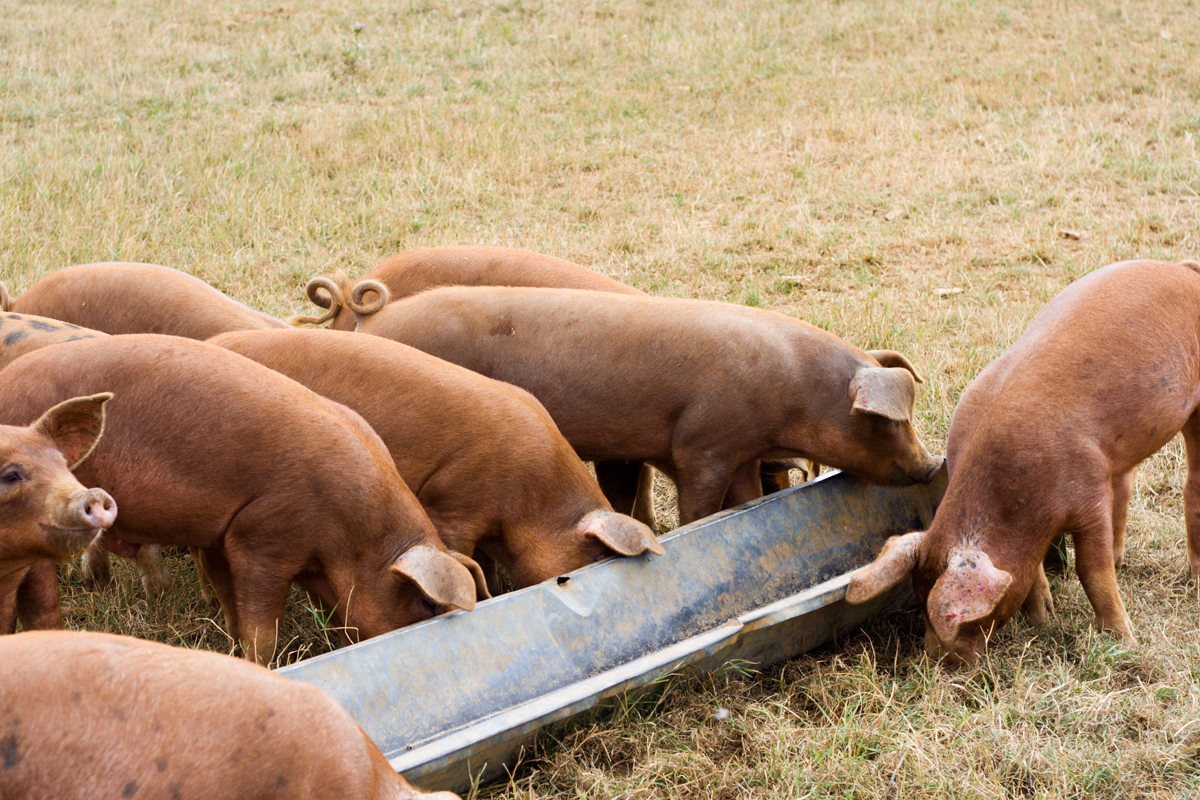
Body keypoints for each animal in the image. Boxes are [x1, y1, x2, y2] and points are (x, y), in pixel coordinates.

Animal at [341, 286, 941, 525]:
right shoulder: (705, 442)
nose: (934, 463)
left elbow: (746, 498)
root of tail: (372, 322)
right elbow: (702, 504)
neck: (792, 393)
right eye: (889, 424)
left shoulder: (743, 452)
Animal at [846, 260, 1200, 664]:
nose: (941, 661)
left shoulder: (1089, 492)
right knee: (1127, 484)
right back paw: (1121, 562)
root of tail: (1182, 268)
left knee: (1191, 484)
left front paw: (1124, 642)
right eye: (919, 598)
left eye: (970, 618)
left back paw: (1193, 579)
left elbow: (1091, 571)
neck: (1018, 501)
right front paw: (1042, 619)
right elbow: (1033, 574)